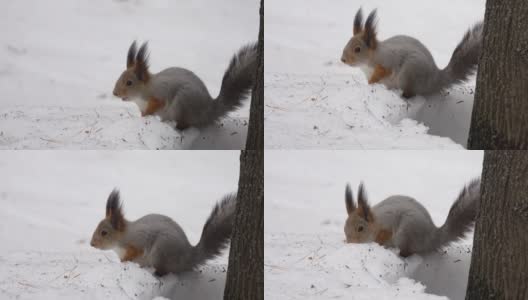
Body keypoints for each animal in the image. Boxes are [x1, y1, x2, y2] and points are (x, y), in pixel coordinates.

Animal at [91, 190, 237, 276]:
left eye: (104, 233)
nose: (92, 244)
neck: (122, 238)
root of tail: (188, 257)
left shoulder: (137, 242)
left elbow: (136, 252)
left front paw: (126, 262)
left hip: (161, 251)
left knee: (165, 270)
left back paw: (157, 273)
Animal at [113, 40, 258, 129]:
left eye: (129, 83)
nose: (115, 93)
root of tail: (209, 111)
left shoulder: (160, 94)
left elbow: (158, 104)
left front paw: (148, 114)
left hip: (183, 101)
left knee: (187, 123)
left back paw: (180, 126)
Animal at [340, 8, 484, 98]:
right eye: (347, 43)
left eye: (357, 49)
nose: (343, 60)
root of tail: (435, 79)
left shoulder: (388, 60)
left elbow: (385, 71)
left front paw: (372, 81)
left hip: (410, 72)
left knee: (412, 92)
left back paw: (405, 95)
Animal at [344, 179, 480, 256]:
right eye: (344, 229)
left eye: (361, 228)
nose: (350, 243)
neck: (376, 223)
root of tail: (432, 237)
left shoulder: (387, 226)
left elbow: (384, 236)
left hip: (406, 233)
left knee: (408, 252)